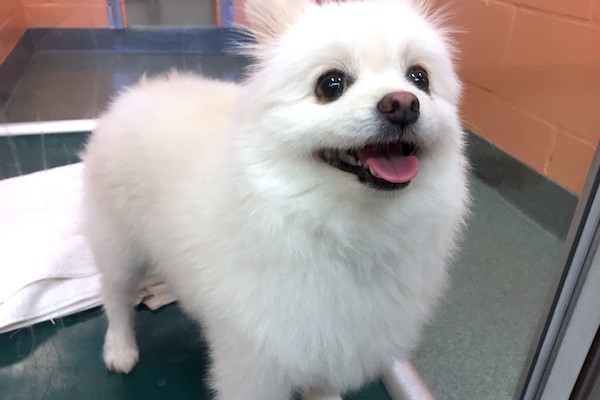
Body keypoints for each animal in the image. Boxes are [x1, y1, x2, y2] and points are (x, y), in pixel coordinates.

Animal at [82, 0, 472, 398]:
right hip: (120, 247)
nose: (404, 103)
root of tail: (140, 90)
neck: (345, 229)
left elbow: (323, 387)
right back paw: (120, 348)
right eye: (331, 84)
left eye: (419, 78)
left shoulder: (335, 347)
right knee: (114, 296)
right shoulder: (255, 363)